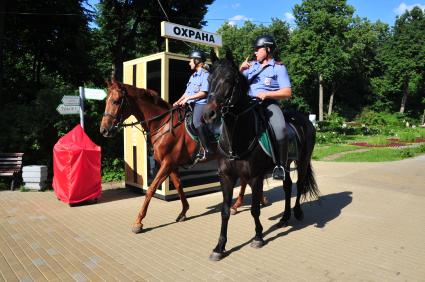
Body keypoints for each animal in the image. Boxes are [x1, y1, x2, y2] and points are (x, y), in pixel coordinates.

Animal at [97, 79, 250, 234]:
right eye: (106, 100)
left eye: (116, 101)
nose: (104, 130)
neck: (162, 124)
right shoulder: (172, 164)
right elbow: (178, 185)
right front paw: (183, 212)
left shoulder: (167, 163)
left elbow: (151, 189)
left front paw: (138, 222)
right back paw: (241, 204)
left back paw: (237, 205)